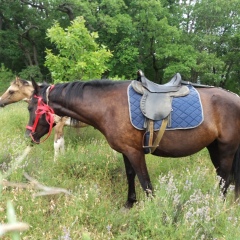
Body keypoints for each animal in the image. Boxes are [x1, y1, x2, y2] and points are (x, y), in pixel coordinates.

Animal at [25, 76, 240, 206]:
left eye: (30, 108)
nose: (30, 137)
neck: (108, 107)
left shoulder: (135, 152)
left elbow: (145, 182)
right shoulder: (126, 150)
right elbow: (131, 175)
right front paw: (130, 203)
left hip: (226, 149)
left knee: (225, 180)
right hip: (214, 148)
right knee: (226, 179)